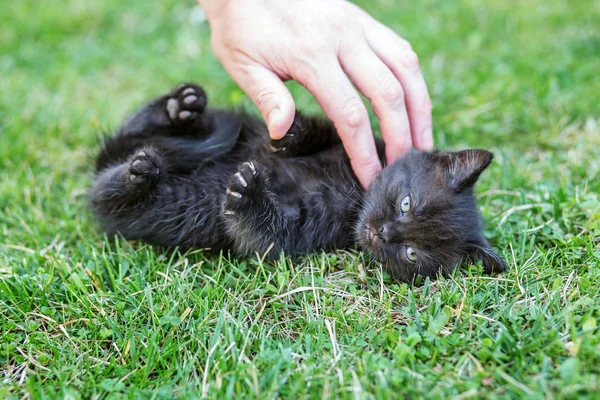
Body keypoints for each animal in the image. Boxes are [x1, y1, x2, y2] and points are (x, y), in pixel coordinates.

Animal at [90, 82, 506, 282]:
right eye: (406, 203)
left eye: (412, 254)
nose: (383, 233)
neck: (353, 195)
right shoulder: (356, 141)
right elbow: (323, 129)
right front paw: (292, 133)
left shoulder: (303, 230)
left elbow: (268, 233)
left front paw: (248, 196)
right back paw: (178, 110)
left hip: (162, 206)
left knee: (101, 197)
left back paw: (136, 174)